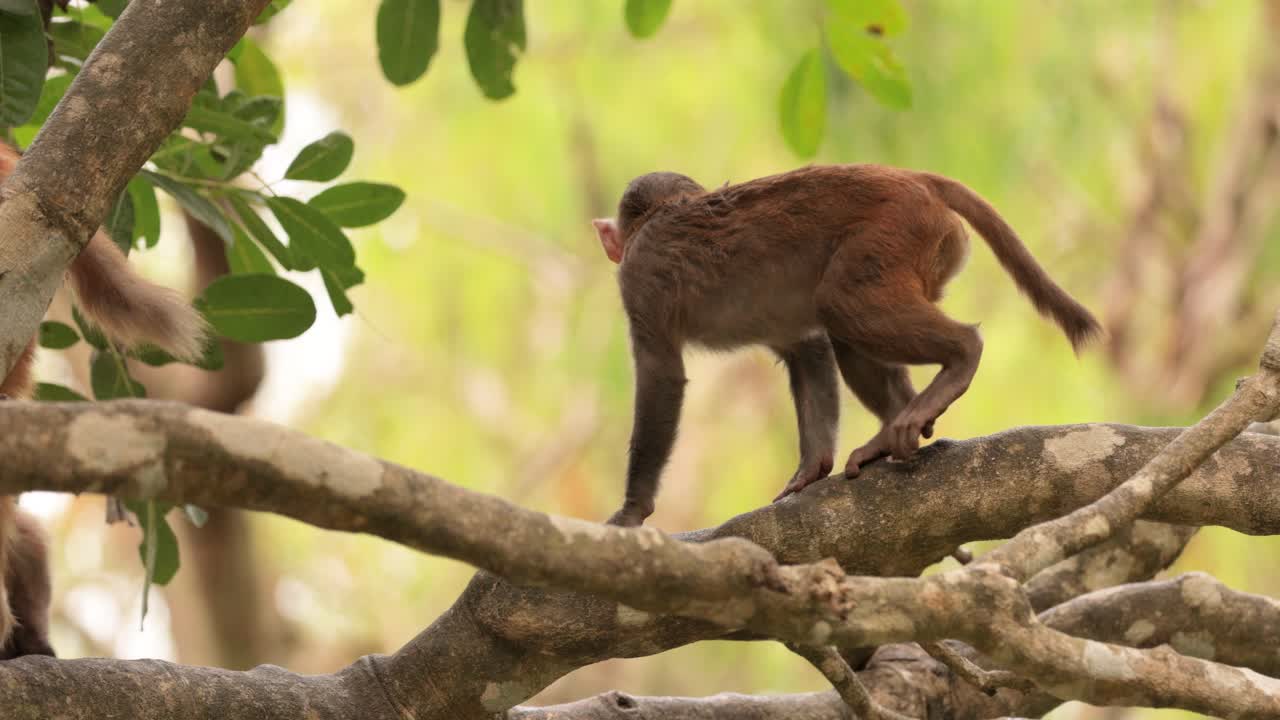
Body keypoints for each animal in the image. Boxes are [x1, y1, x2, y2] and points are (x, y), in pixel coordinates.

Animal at [592, 165, 1101, 527]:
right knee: (840, 325)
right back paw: (895, 425)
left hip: (895, 232)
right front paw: (811, 467)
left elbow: (661, 374)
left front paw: (633, 509)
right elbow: (809, 347)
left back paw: (959, 357)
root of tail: (913, 178)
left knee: (842, 304)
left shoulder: (639, 278)